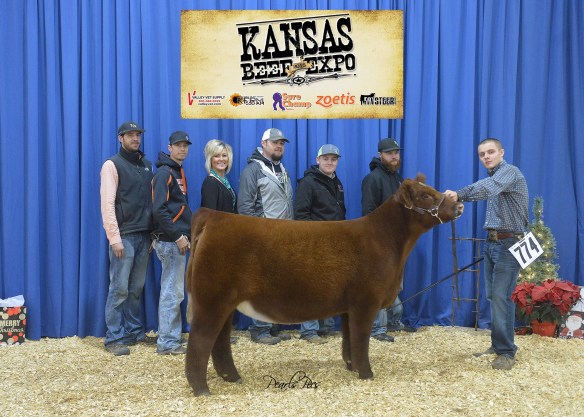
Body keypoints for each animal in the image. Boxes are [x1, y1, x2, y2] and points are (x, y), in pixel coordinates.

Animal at [185, 174, 464, 396]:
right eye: (425, 195)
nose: (458, 203)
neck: (388, 241)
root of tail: (213, 216)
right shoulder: (366, 301)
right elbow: (361, 338)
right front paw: (367, 374)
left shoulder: (349, 305)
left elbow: (349, 339)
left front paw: (351, 367)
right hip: (211, 300)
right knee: (200, 341)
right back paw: (201, 389)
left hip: (225, 303)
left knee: (220, 341)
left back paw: (232, 377)